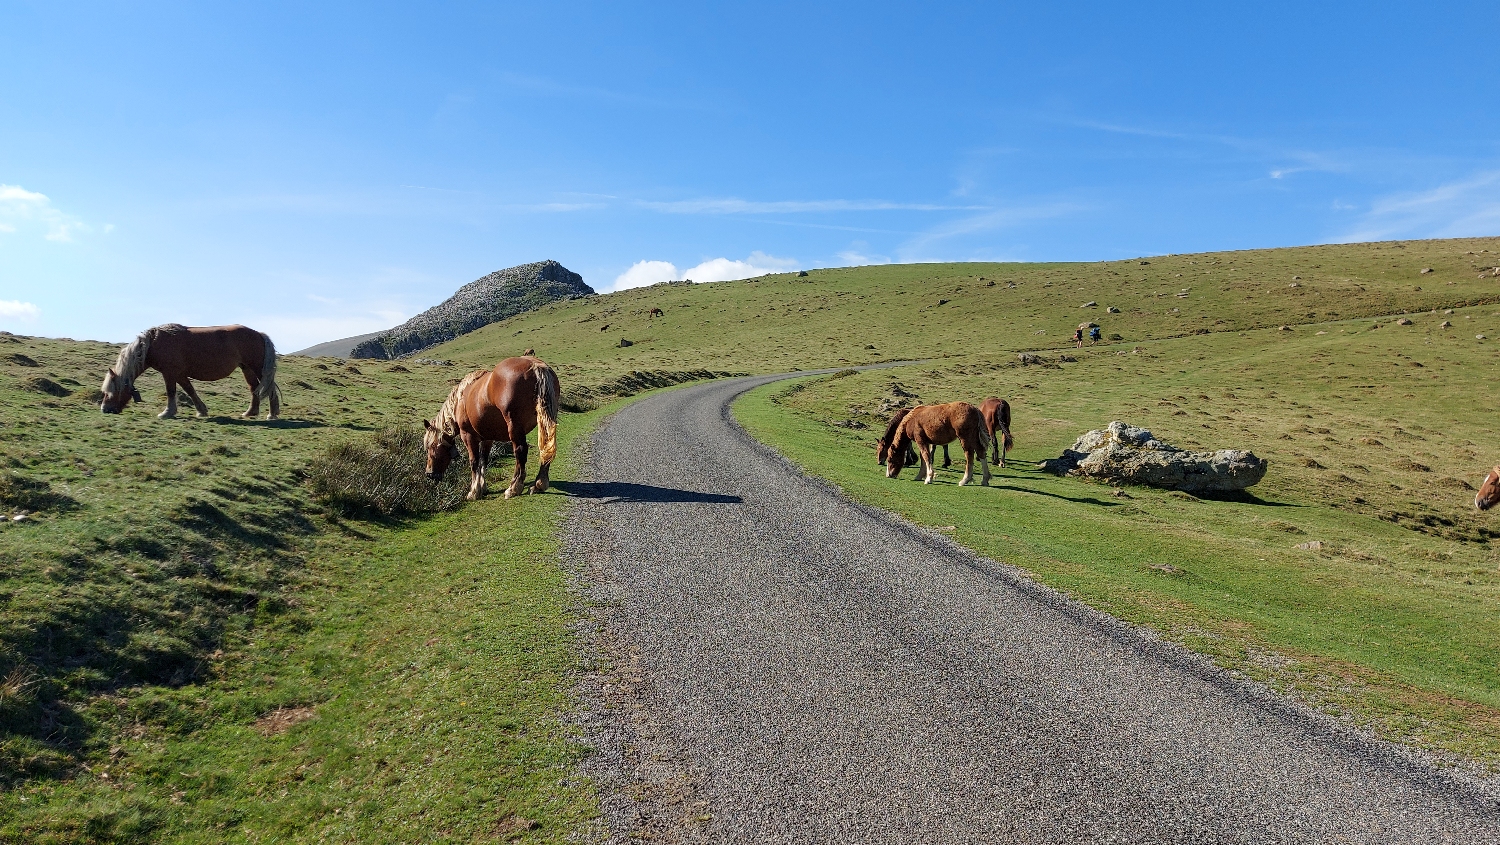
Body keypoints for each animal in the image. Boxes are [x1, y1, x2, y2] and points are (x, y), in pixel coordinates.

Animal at [100, 321, 282, 420]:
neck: (153, 344)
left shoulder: (170, 373)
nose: (104, 409)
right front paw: (201, 411)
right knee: (254, 389)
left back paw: (272, 414)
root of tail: (259, 334)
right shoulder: (179, 374)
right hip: (247, 369)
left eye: (111, 391)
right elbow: (190, 390)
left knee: (269, 389)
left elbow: (171, 392)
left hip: (257, 368)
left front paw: (167, 412)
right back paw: (250, 413)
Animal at [423, 354, 564, 498]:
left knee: (520, 450)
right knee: (546, 446)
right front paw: (482, 487)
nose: (429, 474)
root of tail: (535, 366)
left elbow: (474, 461)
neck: (459, 401)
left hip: (514, 427)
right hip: (545, 421)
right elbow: (483, 461)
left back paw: (514, 487)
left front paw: (473, 491)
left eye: (430, 447)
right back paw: (539, 483)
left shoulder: (468, 436)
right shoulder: (487, 438)